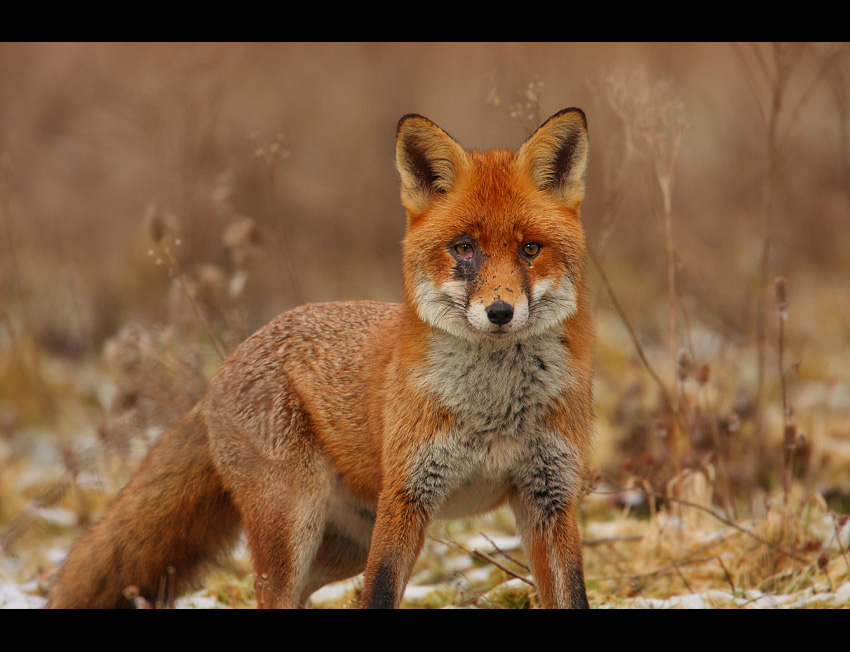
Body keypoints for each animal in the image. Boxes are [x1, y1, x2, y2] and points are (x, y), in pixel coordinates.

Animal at [46, 108, 588, 612]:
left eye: (530, 249)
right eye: (464, 248)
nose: (499, 312)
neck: (493, 408)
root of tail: (225, 365)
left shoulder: (549, 496)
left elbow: (572, 593)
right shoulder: (406, 496)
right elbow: (380, 593)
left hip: (343, 546)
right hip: (294, 523)